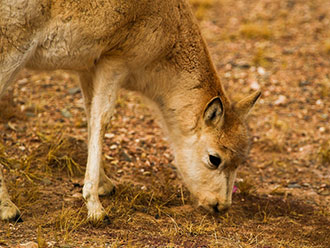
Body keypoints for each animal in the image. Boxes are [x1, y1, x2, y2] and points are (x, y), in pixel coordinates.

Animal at [0, 0, 260, 222]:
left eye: (240, 161)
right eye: (214, 158)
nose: (221, 205)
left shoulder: (88, 67)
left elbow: (90, 114)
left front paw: (104, 185)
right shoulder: (115, 61)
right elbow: (102, 119)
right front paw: (95, 208)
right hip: (12, 50)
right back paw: (8, 208)